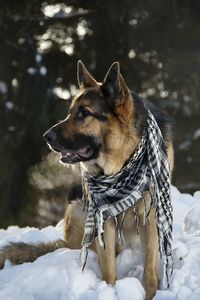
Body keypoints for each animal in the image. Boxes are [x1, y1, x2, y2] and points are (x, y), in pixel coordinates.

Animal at [0, 61, 173, 300]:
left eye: (84, 113)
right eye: (70, 112)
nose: (46, 137)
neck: (122, 161)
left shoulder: (150, 216)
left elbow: (150, 270)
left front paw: (150, 294)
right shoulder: (102, 218)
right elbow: (108, 268)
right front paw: (108, 291)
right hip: (78, 208)